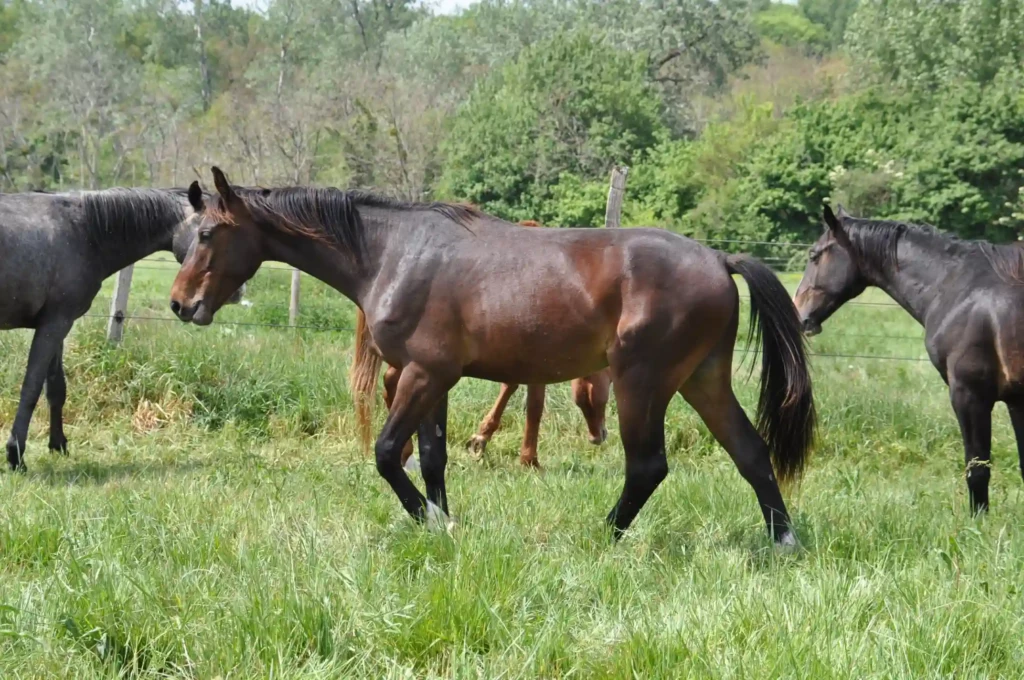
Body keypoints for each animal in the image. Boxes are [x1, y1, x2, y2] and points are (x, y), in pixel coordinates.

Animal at [0, 182, 241, 471]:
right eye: (206, 234)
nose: (237, 293)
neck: (83, 231)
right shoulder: (55, 325)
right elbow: (31, 388)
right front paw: (16, 456)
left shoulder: (56, 324)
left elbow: (56, 389)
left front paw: (58, 445)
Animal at [796, 204, 1024, 514]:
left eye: (814, 255)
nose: (800, 315)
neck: (958, 288)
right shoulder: (1016, 400)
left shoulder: (970, 396)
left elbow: (977, 471)